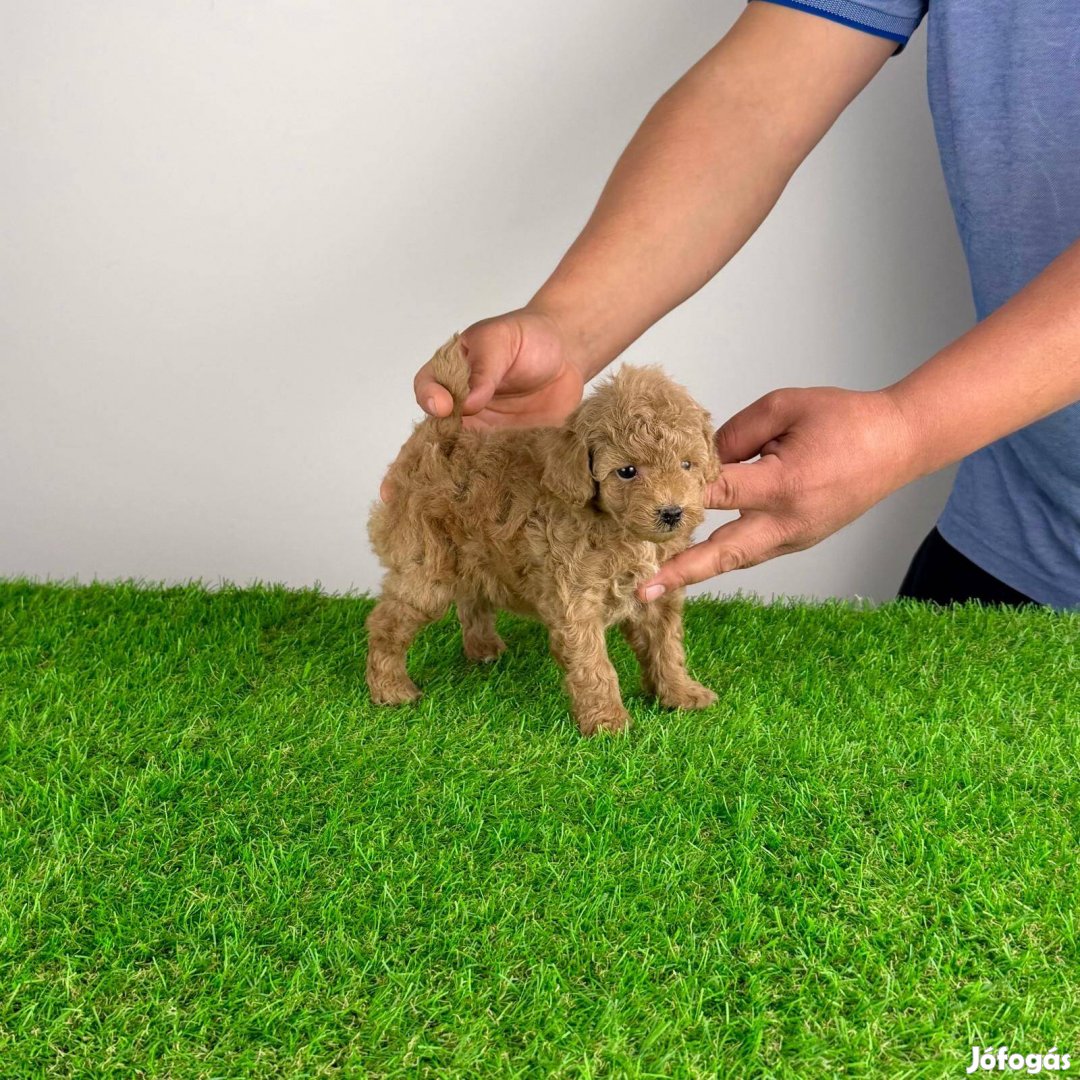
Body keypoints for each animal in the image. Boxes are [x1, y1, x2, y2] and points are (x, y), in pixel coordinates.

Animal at [366, 335, 719, 735]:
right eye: (627, 472)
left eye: (687, 464)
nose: (672, 512)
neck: (618, 528)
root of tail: (440, 437)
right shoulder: (576, 601)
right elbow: (594, 665)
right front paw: (607, 721)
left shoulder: (658, 595)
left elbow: (667, 647)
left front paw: (680, 693)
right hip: (425, 567)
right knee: (387, 622)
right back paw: (390, 688)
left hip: (473, 554)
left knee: (471, 599)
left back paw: (483, 649)